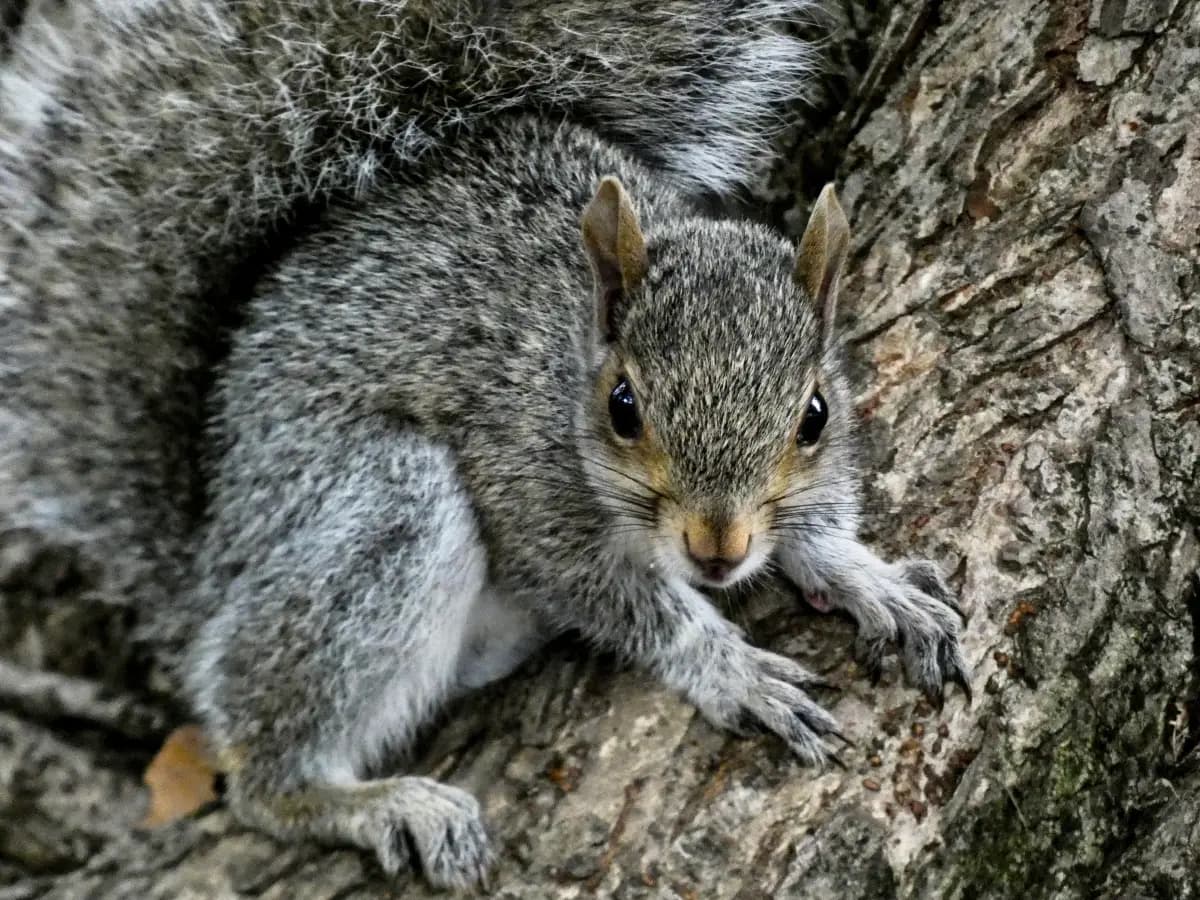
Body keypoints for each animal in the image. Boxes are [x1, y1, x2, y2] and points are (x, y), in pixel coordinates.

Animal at [0, 0, 969, 892]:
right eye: (623, 407)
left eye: (815, 415)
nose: (718, 549)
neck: (568, 349)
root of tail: (208, 554)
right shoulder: (530, 495)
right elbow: (622, 600)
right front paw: (731, 670)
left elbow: (816, 529)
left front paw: (871, 581)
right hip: (383, 510)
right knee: (260, 765)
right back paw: (369, 801)